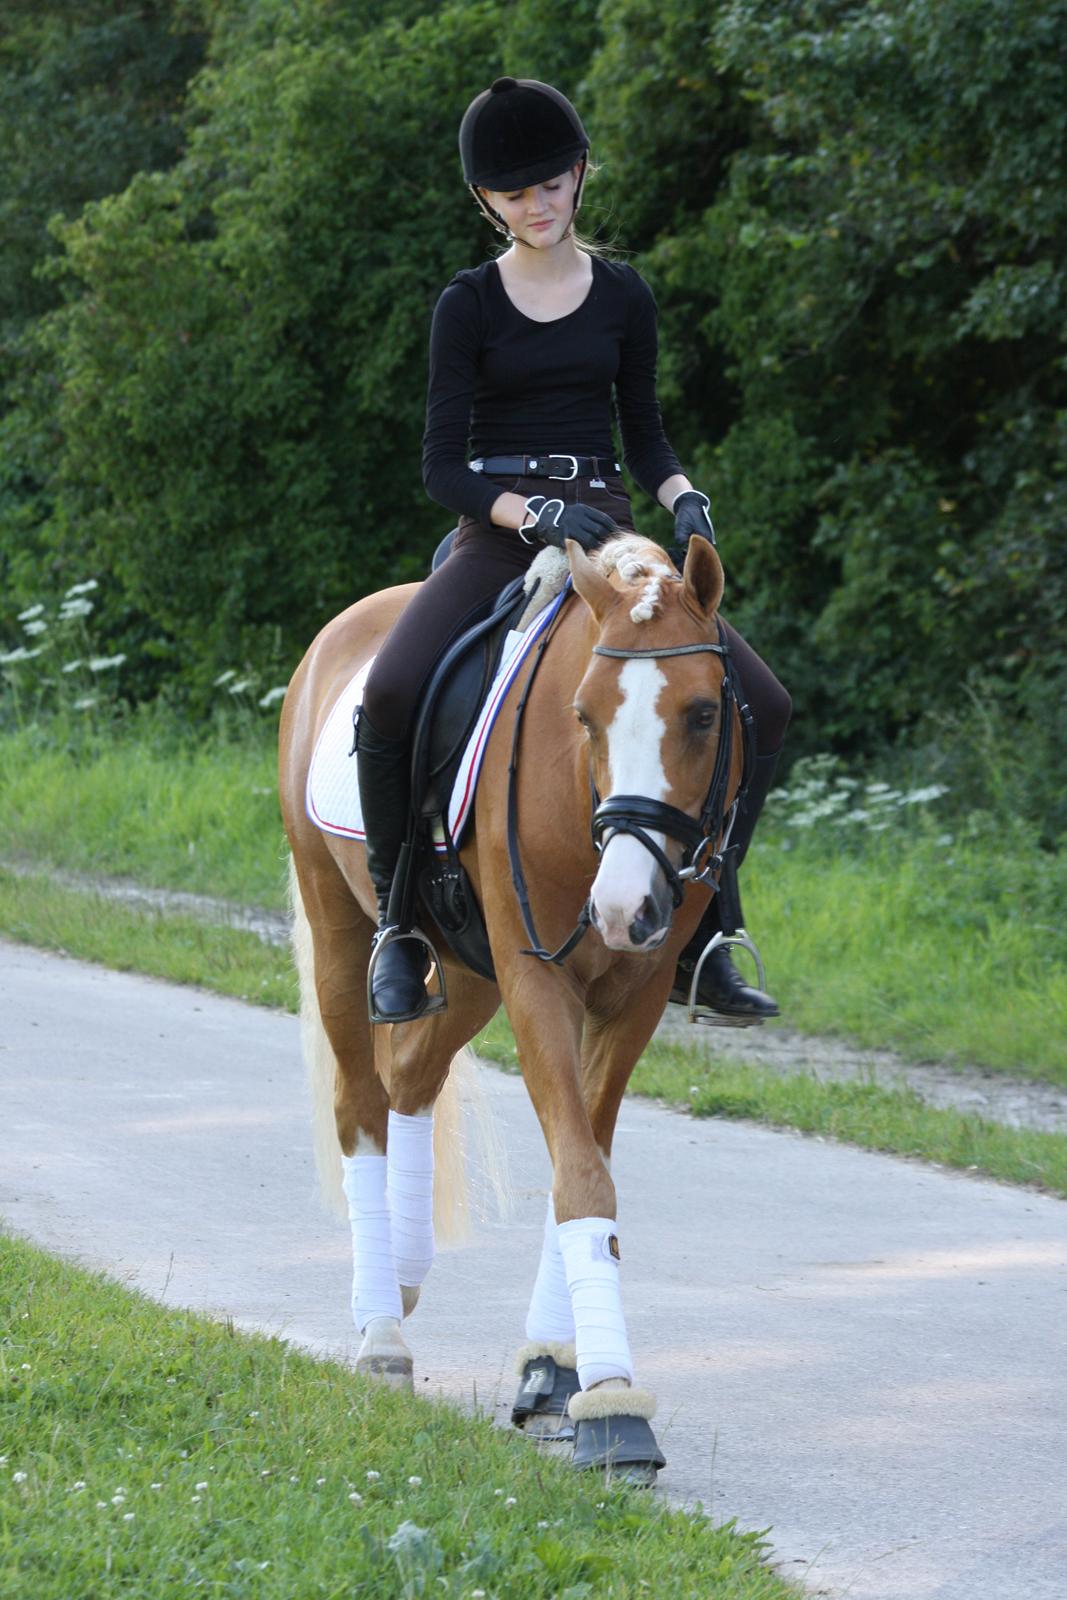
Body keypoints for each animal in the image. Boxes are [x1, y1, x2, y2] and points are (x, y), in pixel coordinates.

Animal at [277, 532, 745, 1479]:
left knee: (411, 1079)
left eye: (702, 715)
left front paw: (555, 1369)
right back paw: (381, 1330)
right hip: (341, 922)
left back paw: (405, 1268)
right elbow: (580, 1173)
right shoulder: (536, 979)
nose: (622, 908)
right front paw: (614, 1406)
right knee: (360, 1106)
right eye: (584, 716)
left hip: (469, 972)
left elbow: (586, 1157)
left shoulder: (632, 994)